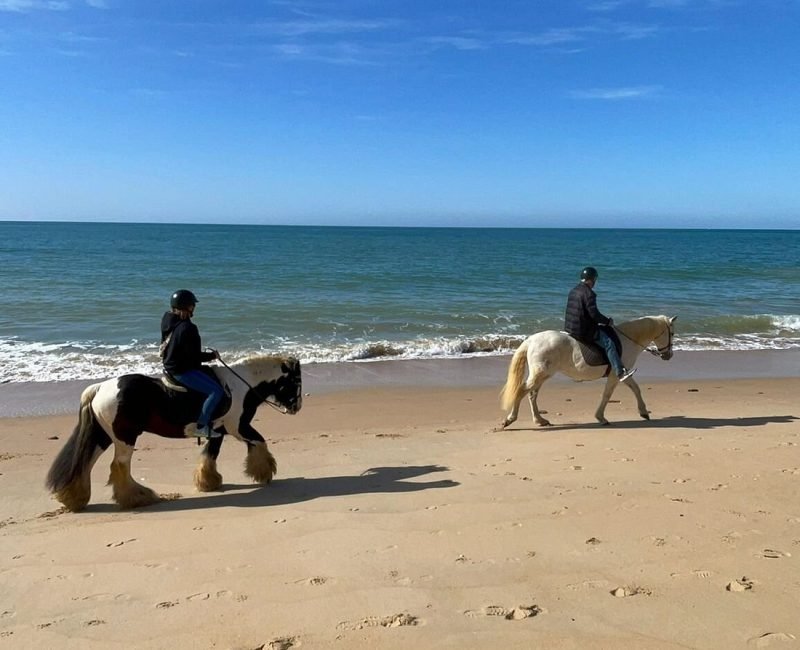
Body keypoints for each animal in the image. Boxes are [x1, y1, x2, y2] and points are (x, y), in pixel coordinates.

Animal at [45, 355, 302, 512]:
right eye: (296, 382)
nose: (296, 407)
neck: (241, 386)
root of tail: (100, 388)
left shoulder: (219, 431)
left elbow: (211, 455)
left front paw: (208, 482)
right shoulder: (238, 428)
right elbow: (259, 442)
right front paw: (264, 472)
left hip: (103, 436)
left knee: (86, 463)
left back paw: (74, 498)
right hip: (124, 438)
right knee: (119, 466)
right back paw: (137, 497)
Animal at [500, 315, 676, 428]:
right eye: (672, 333)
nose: (668, 356)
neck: (628, 340)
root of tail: (531, 340)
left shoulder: (623, 374)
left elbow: (636, 389)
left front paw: (644, 412)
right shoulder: (616, 374)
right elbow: (608, 394)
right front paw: (601, 418)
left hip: (542, 375)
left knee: (532, 395)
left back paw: (540, 420)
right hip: (540, 374)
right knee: (522, 391)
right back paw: (509, 420)